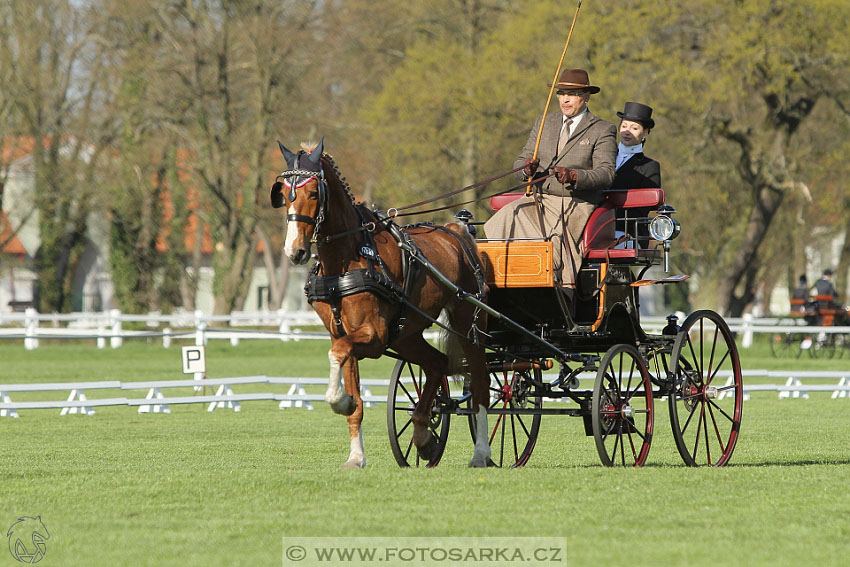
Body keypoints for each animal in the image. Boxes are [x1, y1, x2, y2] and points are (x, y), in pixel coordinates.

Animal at [264, 140, 490, 468]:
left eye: (315, 193)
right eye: (283, 193)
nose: (295, 252)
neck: (346, 259)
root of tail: (456, 231)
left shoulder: (373, 336)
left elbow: (337, 353)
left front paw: (338, 400)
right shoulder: (345, 333)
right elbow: (354, 394)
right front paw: (356, 454)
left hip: (468, 324)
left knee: (481, 383)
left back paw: (482, 452)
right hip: (407, 334)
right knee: (437, 363)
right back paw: (423, 437)